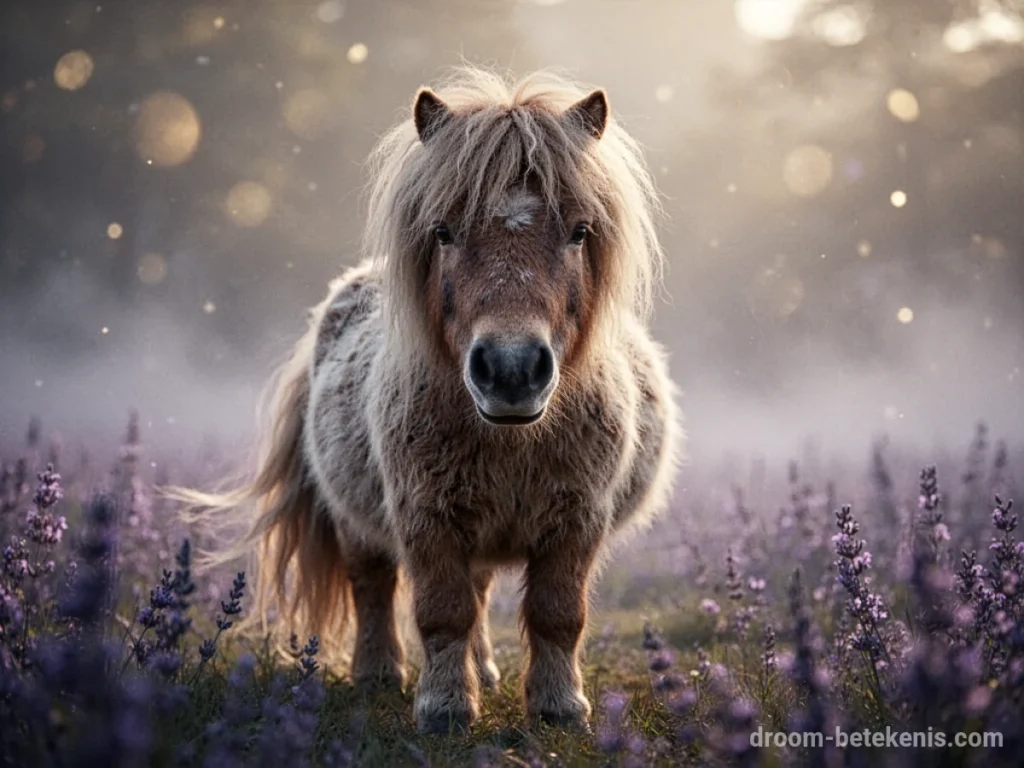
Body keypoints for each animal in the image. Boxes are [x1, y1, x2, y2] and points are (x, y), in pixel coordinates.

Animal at [179, 67, 683, 735]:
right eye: (443, 231)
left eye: (580, 231)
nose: (511, 369)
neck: (513, 441)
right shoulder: (425, 516)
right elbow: (442, 611)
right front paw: (445, 708)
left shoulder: (577, 521)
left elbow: (557, 614)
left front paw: (558, 708)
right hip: (356, 520)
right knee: (372, 588)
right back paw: (378, 675)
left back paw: (485, 671)